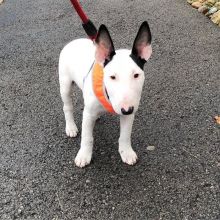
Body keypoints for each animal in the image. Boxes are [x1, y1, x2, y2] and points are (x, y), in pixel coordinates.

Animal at [58, 21, 152, 168]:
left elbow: (125, 135)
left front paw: (126, 152)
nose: (127, 109)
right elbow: (87, 137)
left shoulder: (129, 114)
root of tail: (73, 42)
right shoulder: (88, 114)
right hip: (65, 84)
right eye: (112, 77)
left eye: (136, 75)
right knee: (67, 106)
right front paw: (84, 155)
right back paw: (71, 127)